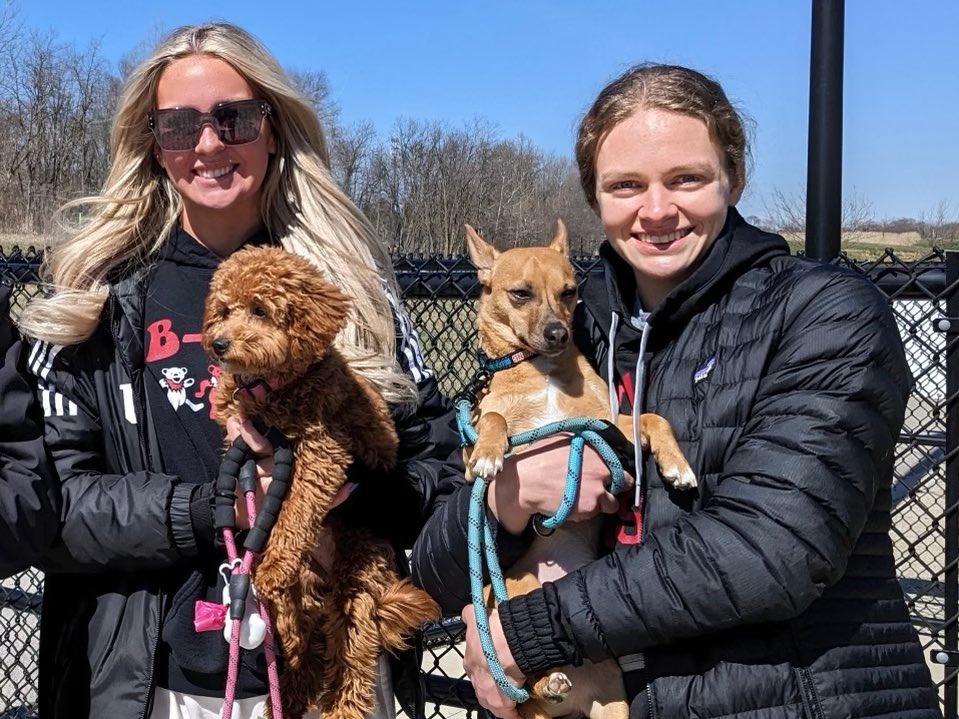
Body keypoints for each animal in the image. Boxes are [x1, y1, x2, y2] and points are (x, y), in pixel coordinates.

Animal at [206, 248, 442, 719]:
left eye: (260, 310)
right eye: (223, 310)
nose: (219, 343)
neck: (271, 391)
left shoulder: (322, 454)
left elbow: (295, 511)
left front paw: (275, 558)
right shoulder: (240, 438)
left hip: (358, 589)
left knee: (351, 669)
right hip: (298, 607)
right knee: (307, 660)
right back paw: (286, 700)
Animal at [464, 224, 692, 719]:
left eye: (570, 292)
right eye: (520, 294)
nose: (558, 332)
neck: (540, 370)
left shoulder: (607, 424)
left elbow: (653, 417)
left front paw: (677, 465)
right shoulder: (472, 443)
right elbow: (493, 419)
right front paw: (490, 451)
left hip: (613, 705)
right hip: (513, 593)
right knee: (524, 669)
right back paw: (548, 681)